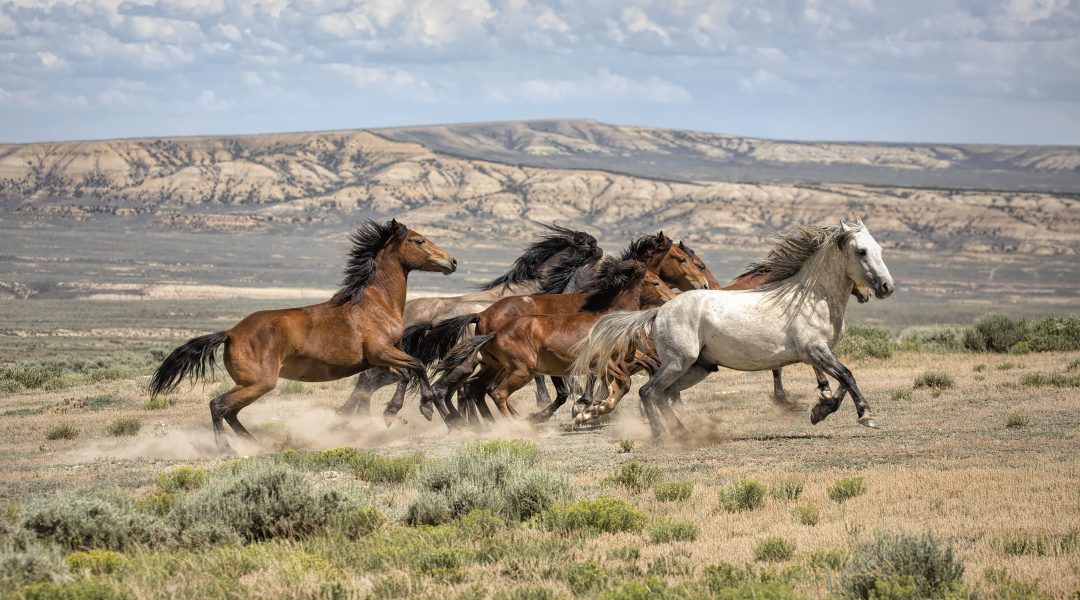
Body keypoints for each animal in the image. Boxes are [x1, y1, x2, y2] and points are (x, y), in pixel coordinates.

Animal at [147, 217, 455, 446]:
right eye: (419, 240)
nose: (452, 262)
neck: (375, 303)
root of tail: (230, 333)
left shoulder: (381, 360)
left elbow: (404, 373)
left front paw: (395, 411)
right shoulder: (382, 352)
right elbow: (416, 366)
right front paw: (424, 408)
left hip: (249, 384)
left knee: (230, 411)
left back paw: (254, 443)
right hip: (259, 383)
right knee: (218, 405)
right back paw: (227, 448)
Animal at [574, 217, 894, 433]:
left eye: (879, 249)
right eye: (862, 251)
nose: (885, 288)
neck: (811, 296)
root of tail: (659, 311)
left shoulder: (821, 352)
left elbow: (841, 382)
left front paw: (820, 410)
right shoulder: (814, 350)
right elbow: (847, 375)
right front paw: (866, 416)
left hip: (698, 368)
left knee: (661, 394)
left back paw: (678, 431)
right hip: (679, 362)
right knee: (648, 392)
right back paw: (662, 435)